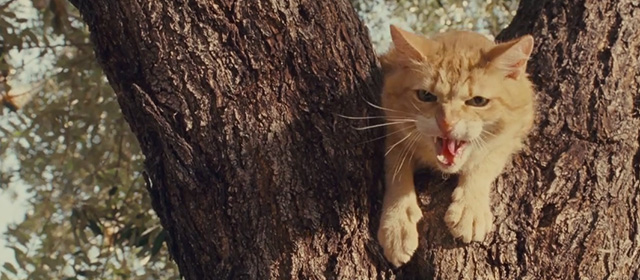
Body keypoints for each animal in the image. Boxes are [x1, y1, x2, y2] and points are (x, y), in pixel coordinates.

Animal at [376, 25, 536, 266]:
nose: (446, 123)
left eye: (478, 101)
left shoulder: (514, 133)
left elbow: (484, 164)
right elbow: (397, 171)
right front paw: (397, 222)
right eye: (425, 95)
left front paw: (470, 208)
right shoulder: (394, 131)